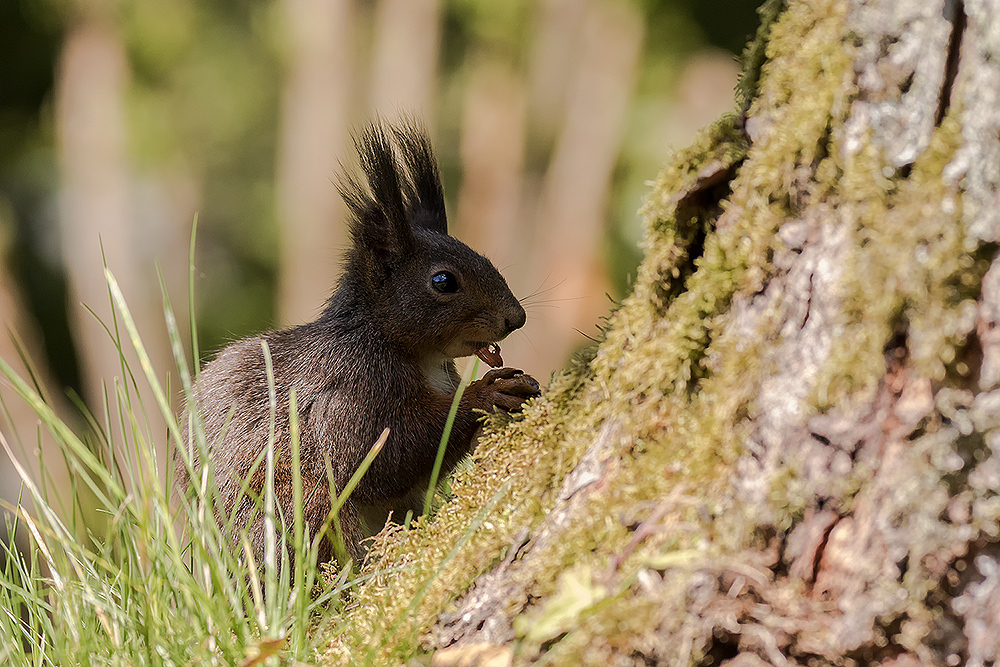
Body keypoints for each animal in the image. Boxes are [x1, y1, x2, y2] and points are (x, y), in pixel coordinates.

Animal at [176, 121, 544, 568]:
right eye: (443, 281)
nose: (516, 318)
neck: (413, 353)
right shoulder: (349, 388)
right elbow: (378, 456)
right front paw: (487, 393)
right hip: (299, 507)